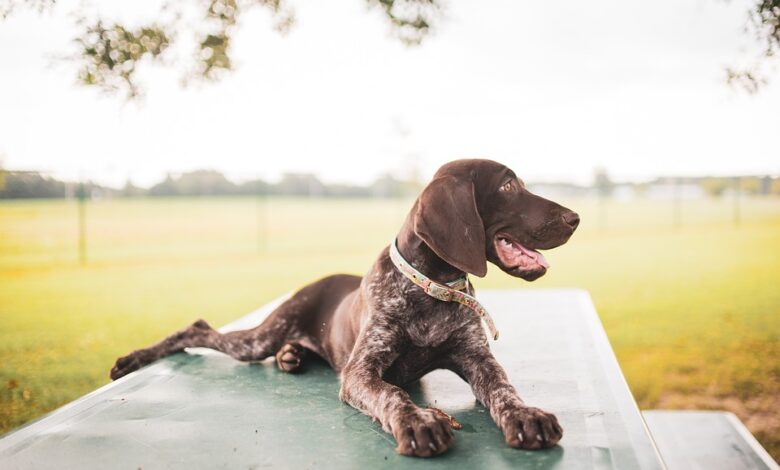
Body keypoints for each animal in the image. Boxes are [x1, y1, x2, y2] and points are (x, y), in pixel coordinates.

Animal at [109, 158, 576, 456]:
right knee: (200, 328)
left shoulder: (477, 358)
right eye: (508, 186)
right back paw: (135, 358)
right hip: (259, 337)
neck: (432, 290)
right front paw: (419, 421)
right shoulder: (360, 372)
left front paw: (526, 416)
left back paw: (293, 356)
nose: (575, 218)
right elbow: (392, 394)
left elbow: (503, 389)